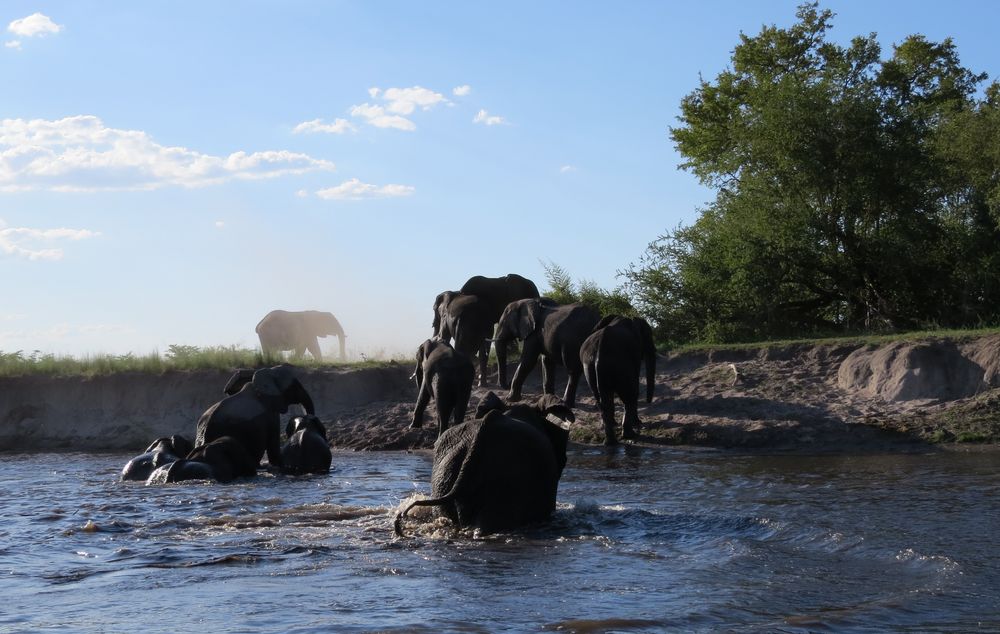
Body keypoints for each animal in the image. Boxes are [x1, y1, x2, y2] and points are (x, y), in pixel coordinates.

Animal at [580, 314, 656, 444]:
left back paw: (610, 441)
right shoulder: (635, 350)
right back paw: (630, 435)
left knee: (603, 400)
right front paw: (638, 423)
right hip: (619, 365)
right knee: (629, 394)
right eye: (648, 335)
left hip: (590, 367)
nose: (649, 401)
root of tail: (599, 352)